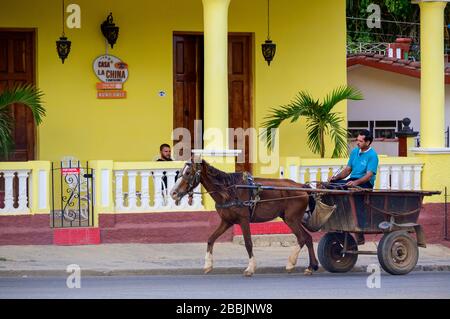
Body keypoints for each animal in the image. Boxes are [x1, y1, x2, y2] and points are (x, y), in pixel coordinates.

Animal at [170, 160, 320, 278]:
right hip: (292, 219)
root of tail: (302, 186)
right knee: (307, 238)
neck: (228, 191)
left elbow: (248, 243)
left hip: (291, 219)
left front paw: (250, 268)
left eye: (188, 173)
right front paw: (208, 265)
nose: (173, 193)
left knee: (302, 238)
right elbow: (210, 239)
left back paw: (290, 263)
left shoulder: (243, 220)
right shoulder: (227, 221)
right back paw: (311, 267)